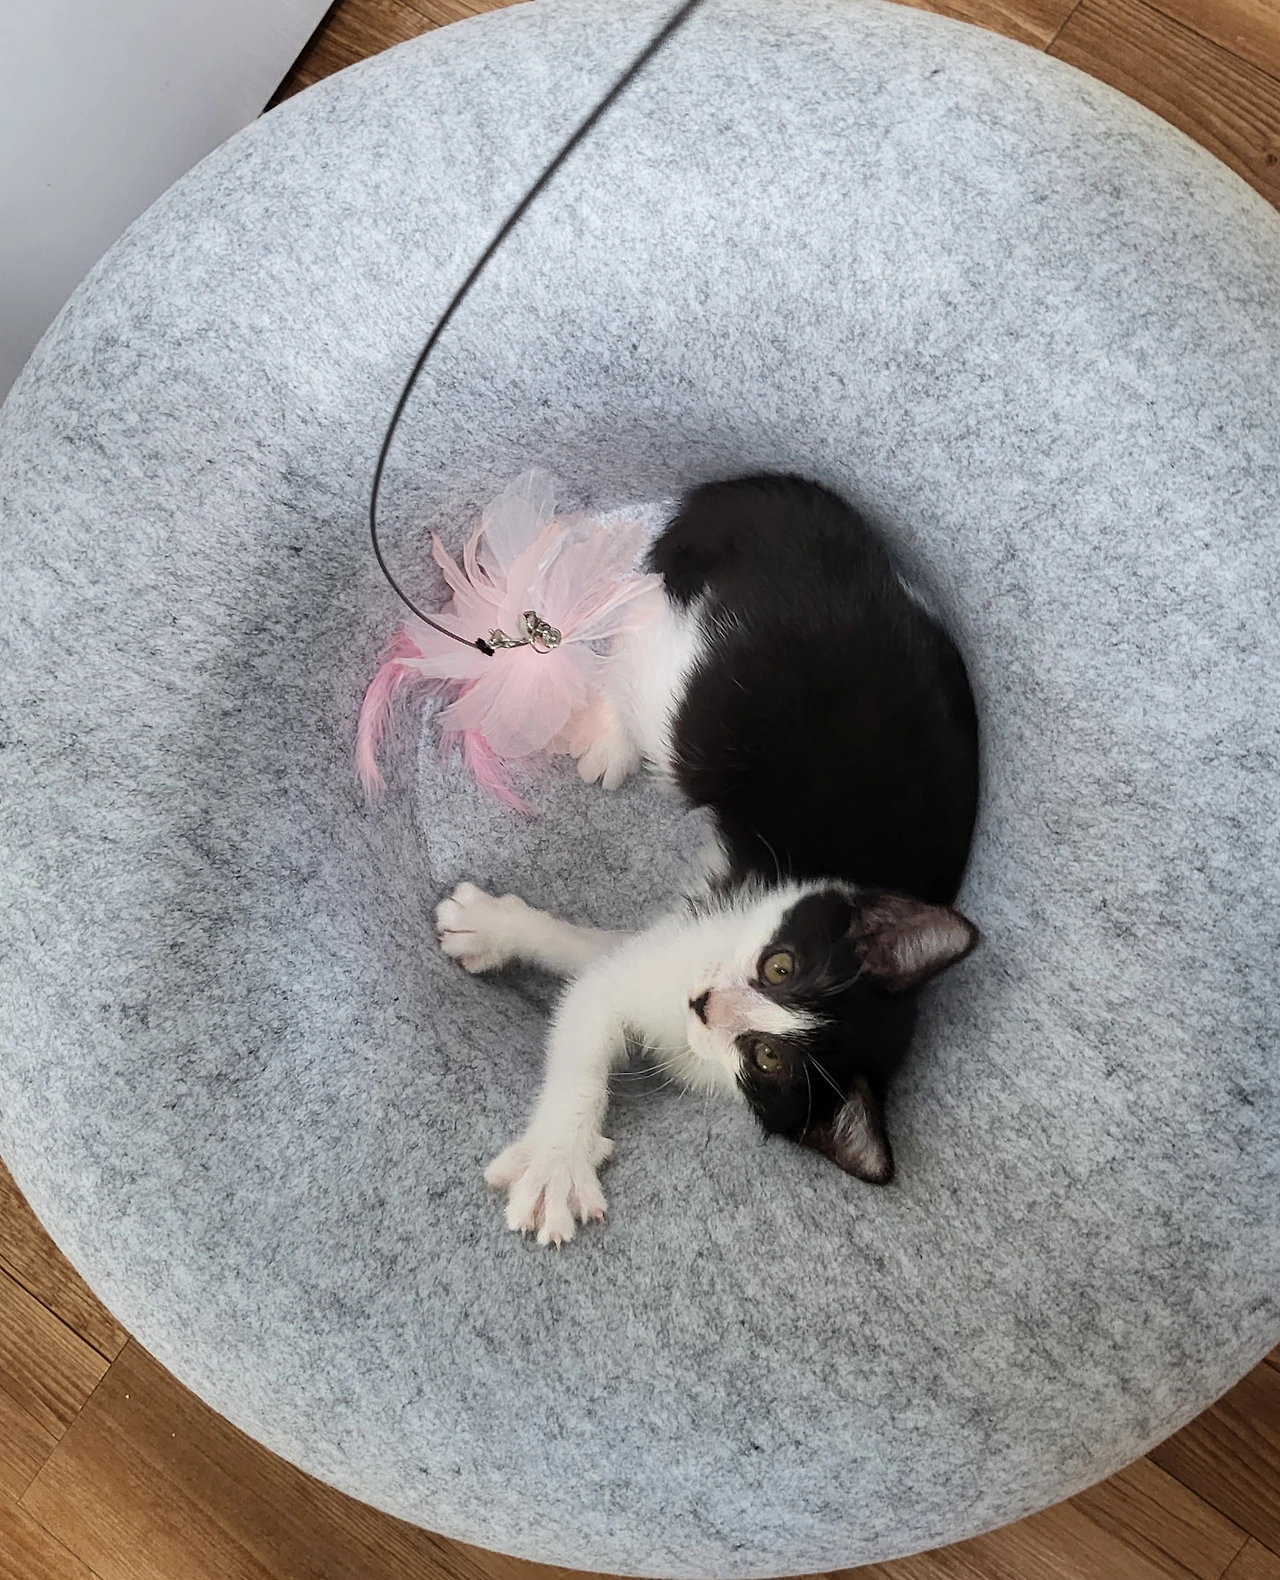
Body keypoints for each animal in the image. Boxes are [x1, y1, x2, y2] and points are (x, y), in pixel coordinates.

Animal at [435, 474, 980, 1245]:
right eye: (783, 966)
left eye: (767, 1058)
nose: (705, 1004)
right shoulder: (720, 918)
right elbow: (589, 1012)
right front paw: (557, 1160)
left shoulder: (689, 945)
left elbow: (595, 963)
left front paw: (488, 930)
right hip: (698, 707)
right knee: (636, 635)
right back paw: (603, 716)